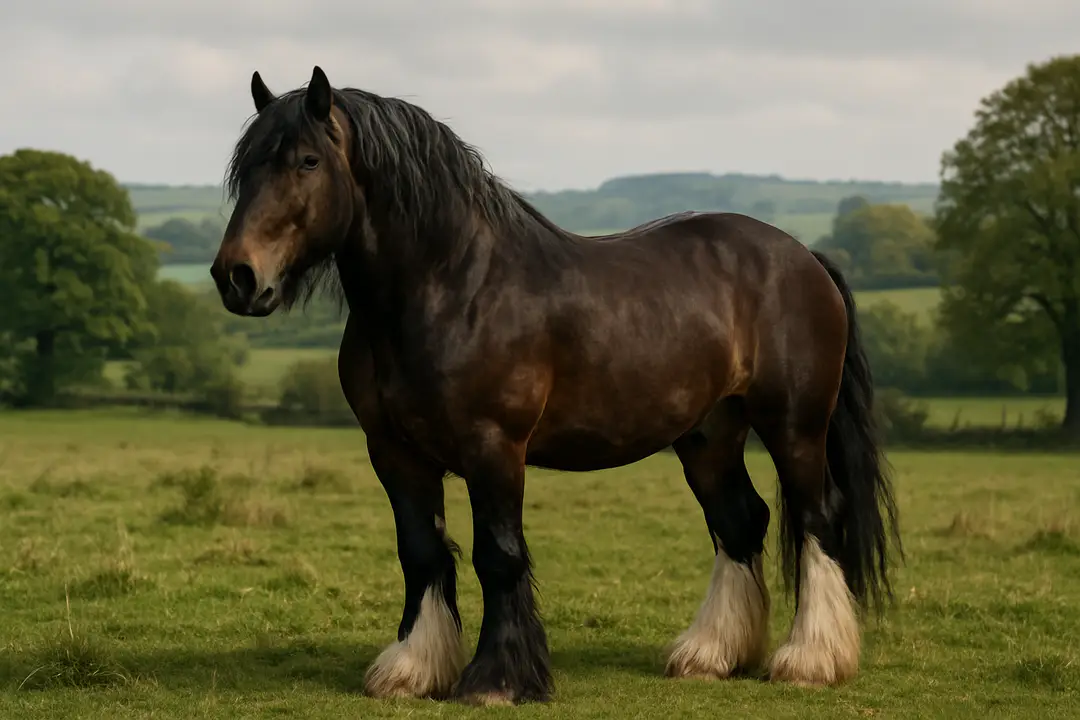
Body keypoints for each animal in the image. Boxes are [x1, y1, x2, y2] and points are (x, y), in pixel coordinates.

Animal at [210, 65, 901, 706]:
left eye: (307, 160)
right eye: (245, 168)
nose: (237, 277)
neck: (449, 286)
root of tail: (805, 256)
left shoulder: (493, 447)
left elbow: (498, 555)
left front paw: (497, 680)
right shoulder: (395, 454)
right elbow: (422, 552)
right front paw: (413, 669)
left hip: (795, 426)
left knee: (817, 517)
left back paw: (810, 660)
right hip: (709, 434)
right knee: (740, 521)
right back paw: (709, 654)